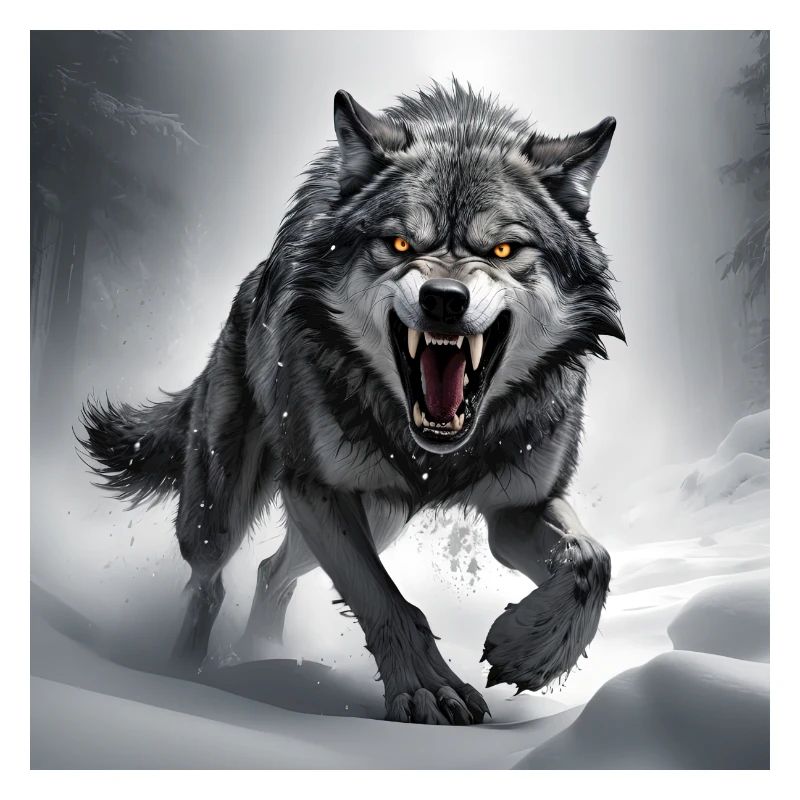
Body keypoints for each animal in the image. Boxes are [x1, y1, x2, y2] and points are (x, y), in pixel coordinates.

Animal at [81, 81, 623, 725]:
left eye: (503, 249)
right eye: (399, 243)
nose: (444, 299)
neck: (437, 456)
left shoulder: (518, 510)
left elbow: (592, 561)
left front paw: (530, 652)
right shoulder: (316, 489)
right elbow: (384, 598)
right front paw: (427, 689)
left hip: (379, 518)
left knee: (270, 572)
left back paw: (263, 655)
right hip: (222, 515)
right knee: (208, 582)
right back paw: (182, 674)